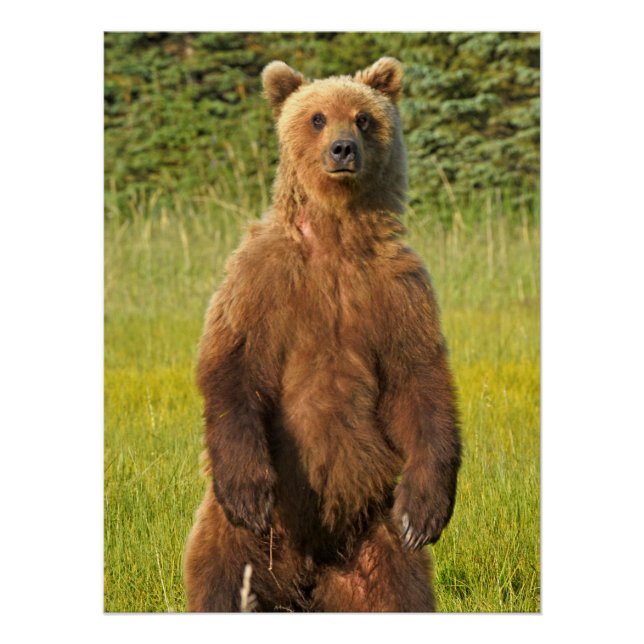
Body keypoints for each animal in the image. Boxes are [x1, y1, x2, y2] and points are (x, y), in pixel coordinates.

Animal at [183, 57, 461, 612]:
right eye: (316, 117)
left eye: (363, 118)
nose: (343, 149)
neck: (336, 237)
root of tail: (306, 574)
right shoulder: (262, 280)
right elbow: (233, 363)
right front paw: (249, 493)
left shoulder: (398, 291)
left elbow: (420, 380)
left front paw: (424, 514)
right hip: (247, 537)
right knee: (221, 575)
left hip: (375, 532)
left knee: (399, 590)